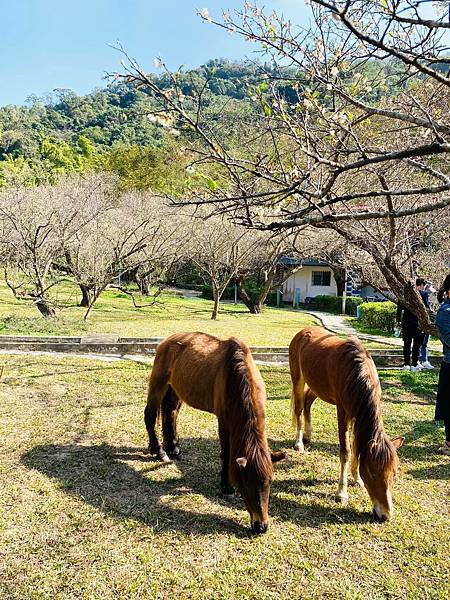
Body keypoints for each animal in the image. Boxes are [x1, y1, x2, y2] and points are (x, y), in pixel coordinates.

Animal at [144, 332, 284, 536]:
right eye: (246, 482)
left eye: (270, 482)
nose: (261, 526)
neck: (236, 376)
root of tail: (168, 340)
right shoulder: (224, 421)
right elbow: (226, 454)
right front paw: (226, 487)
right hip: (158, 383)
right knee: (150, 414)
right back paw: (159, 451)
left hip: (176, 388)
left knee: (170, 413)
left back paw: (173, 447)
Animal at [290, 326, 406, 524]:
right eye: (373, 473)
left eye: (394, 473)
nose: (385, 516)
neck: (357, 373)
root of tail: (302, 332)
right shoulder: (343, 413)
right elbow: (346, 451)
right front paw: (341, 493)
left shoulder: (357, 415)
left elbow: (356, 447)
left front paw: (357, 479)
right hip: (298, 378)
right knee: (299, 408)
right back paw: (299, 443)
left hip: (316, 386)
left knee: (307, 403)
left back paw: (308, 436)